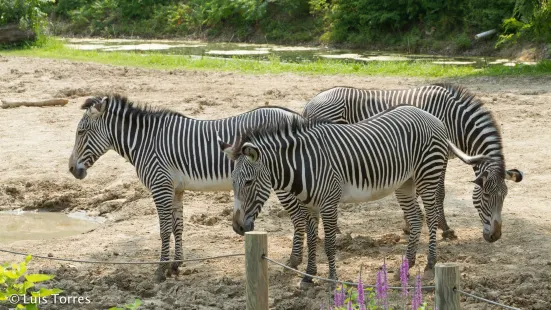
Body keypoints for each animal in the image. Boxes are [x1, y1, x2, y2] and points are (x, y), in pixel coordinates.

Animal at [67, 93, 308, 282]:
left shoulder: (160, 186)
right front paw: (176, 265)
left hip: (283, 183)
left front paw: (161, 269)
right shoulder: (175, 189)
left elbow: (164, 230)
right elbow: (177, 227)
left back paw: (294, 261)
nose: (71, 169)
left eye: (80, 132)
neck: (144, 143)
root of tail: (296, 115)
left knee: (299, 218)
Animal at [220, 104, 500, 286]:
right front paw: (309, 276)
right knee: (416, 219)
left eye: (249, 182)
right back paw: (407, 265)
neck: (302, 164)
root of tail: (434, 118)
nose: (237, 227)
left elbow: (329, 243)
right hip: (405, 182)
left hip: (427, 176)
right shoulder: (309, 205)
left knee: (430, 218)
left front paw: (332, 280)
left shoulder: (329, 202)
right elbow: (312, 240)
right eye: (233, 182)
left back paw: (430, 263)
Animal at [304, 84, 524, 240]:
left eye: (504, 196)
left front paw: (410, 225)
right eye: (486, 196)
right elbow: (439, 192)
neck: (457, 120)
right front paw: (443, 229)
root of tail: (310, 102)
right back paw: (334, 230)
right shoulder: (440, 153)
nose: (495, 236)